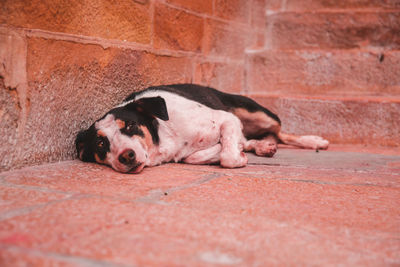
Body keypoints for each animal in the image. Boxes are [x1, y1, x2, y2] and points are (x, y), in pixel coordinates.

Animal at [75, 85, 328, 175]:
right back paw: (262, 146)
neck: (164, 136)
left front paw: (236, 156)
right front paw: (234, 150)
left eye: (130, 125)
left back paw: (314, 141)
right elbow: (198, 156)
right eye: (101, 144)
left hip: (259, 113)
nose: (126, 156)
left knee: (281, 133)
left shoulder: (226, 118)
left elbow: (228, 157)